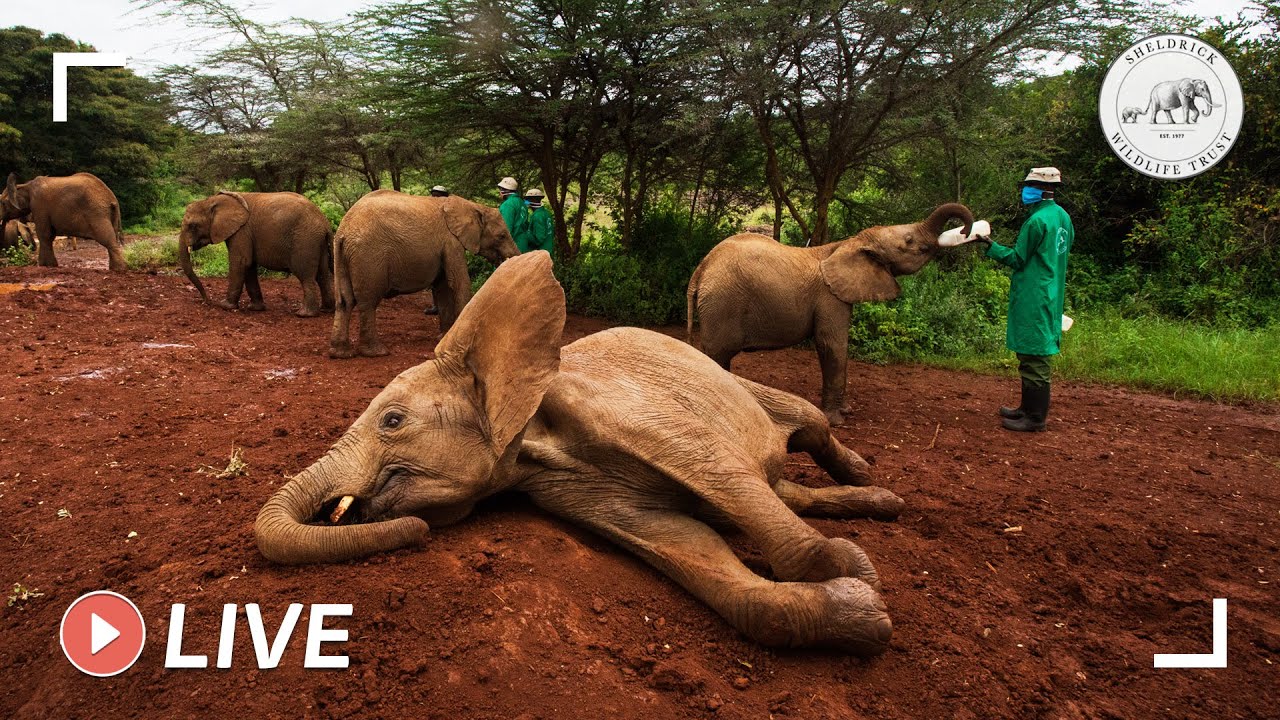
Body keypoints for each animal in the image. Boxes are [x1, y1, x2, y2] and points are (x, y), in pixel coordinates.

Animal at [178, 191, 335, 317]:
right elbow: (249, 265)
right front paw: (255, 308)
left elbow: (241, 262)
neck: (212, 200)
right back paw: (326, 310)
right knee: (323, 275)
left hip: (305, 241)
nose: (207, 301)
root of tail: (325, 223)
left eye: (193, 226)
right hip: (318, 242)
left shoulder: (241, 231)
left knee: (306, 276)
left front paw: (225, 306)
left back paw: (304, 314)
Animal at [256, 251, 904, 656]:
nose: (416, 532)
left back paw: (867, 477)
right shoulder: (568, 487)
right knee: (786, 489)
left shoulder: (626, 409)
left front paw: (854, 572)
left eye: (392, 422)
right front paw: (861, 615)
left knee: (806, 429)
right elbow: (685, 544)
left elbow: (720, 474)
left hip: (749, 388)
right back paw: (883, 503)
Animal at [329, 190, 520, 359]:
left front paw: (442, 337)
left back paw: (341, 354)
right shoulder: (450, 241)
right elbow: (458, 282)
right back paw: (376, 352)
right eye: (502, 236)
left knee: (345, 301)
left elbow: (443, 288)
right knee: (368, 301)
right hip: (369, 256)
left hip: (344, 255)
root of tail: (343, 230)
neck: (472, 205)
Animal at [687, 204, 986, 425]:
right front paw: (837, 421)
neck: (851, 242)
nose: (973, 232)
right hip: (722, 303)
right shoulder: (830, 297)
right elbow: (832, 345)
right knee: (717, 354)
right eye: (909, 240)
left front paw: (847, 411)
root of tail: (701, 268)